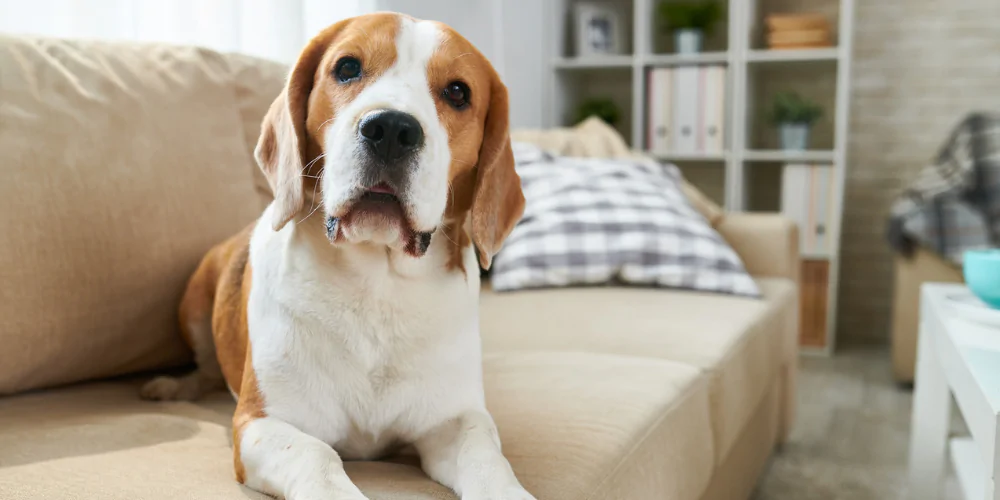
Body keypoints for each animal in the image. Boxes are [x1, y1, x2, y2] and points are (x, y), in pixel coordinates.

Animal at [143, 11, 532, 500]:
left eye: (458, 92)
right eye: (346, 67)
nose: (391, 129)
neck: (376, 287)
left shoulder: (455, 422)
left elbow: (488, 460)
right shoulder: (261, 424)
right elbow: (318, 455)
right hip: (193, 305)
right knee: (206, 369)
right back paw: (172, 385)